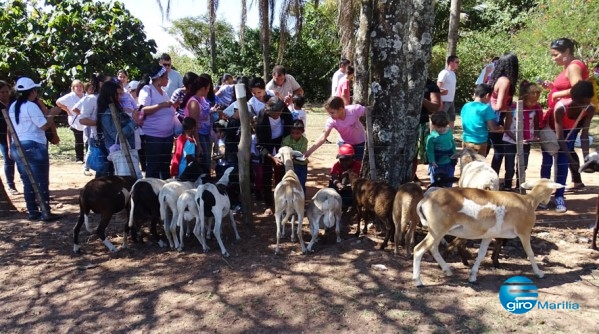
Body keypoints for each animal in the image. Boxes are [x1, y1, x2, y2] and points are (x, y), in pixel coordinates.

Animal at [414, 179, 564, 286]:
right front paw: (539, 273)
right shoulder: (524, 232)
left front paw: (472, 277)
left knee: (433, 248)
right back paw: (418, 281)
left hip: (436, 232)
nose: (547, 202)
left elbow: (481, 255)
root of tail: (425, 199)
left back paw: (448, 271)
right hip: (437, 230)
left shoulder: (488, 236)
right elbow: (530, 253)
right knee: (419, 249)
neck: (528, 201)